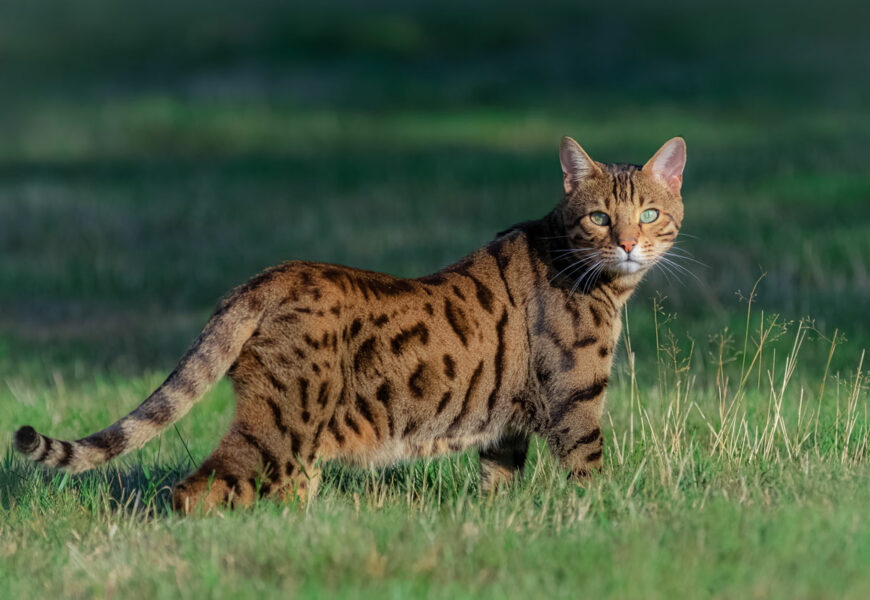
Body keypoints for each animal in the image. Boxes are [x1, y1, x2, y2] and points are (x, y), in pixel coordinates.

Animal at [11, 135, 688, 510]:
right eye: (599, 218)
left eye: (650, 214)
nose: (629, 243)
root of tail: (269, 274)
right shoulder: (575, 402)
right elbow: (591, 477)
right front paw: (608, 520)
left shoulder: (506, 425)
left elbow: (496, 485)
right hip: (282, 425)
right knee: (197, 488)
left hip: (297, 443)